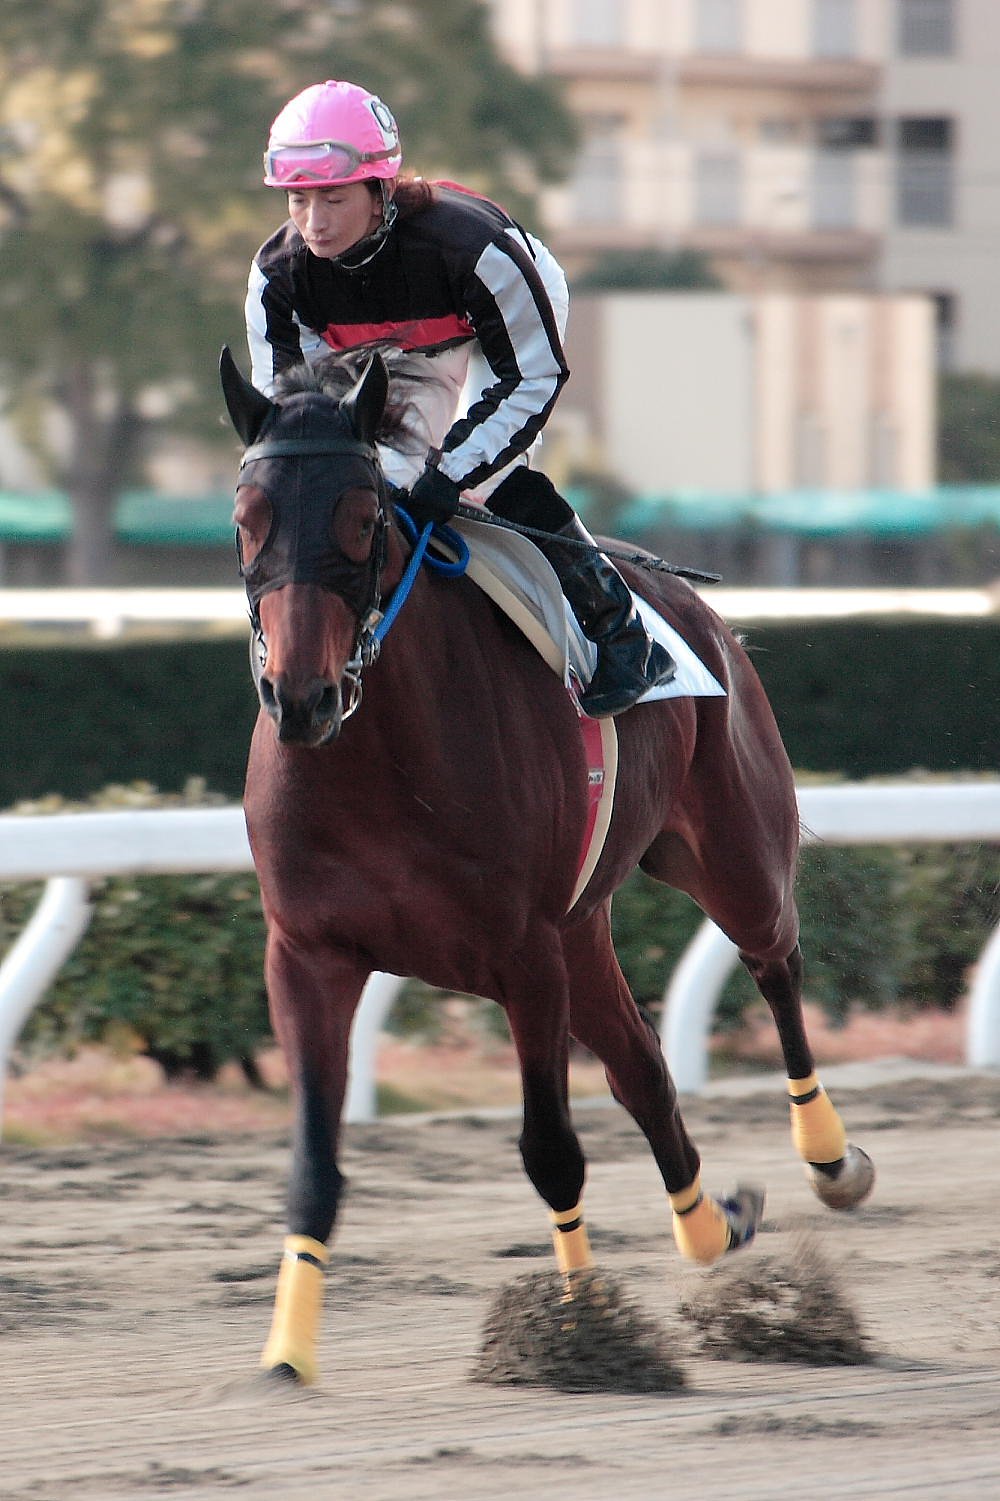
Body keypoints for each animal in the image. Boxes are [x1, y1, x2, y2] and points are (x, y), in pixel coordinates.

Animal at [219, 345, 874, 1386]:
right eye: (248, 518)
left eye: (363, 519)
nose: (302, 695)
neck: (378, 758)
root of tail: (685, 596)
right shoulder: (310, 954)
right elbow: (314, 1164)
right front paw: (287, 1351)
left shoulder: (523, 954)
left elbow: (551, 1149)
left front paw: (581, 1332)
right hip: (584, 929)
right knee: (645, 1067)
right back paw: (711, 1223)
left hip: (731, 852)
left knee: (774, 962)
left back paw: (830, 1159)